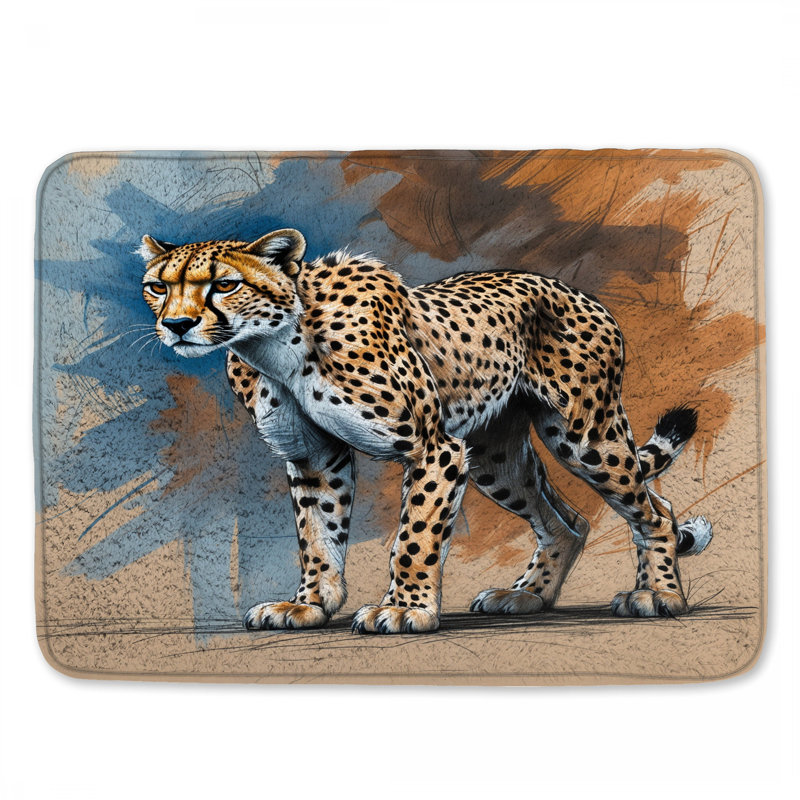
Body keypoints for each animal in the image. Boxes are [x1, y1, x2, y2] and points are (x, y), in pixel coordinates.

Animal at [140, 227, 712, 634]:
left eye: (225, 284)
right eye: (157, 287)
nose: (176, 325)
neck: (275, 343)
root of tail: (576, 291)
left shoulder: (436, 450)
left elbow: (413, 537)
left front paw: (404, 609)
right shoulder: (315, 457)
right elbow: (317, 535)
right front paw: (310, 604)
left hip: (584, 435)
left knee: (656, 511)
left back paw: (659, 596)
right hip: (494, 455)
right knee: (568, 521)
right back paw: (527, 595)